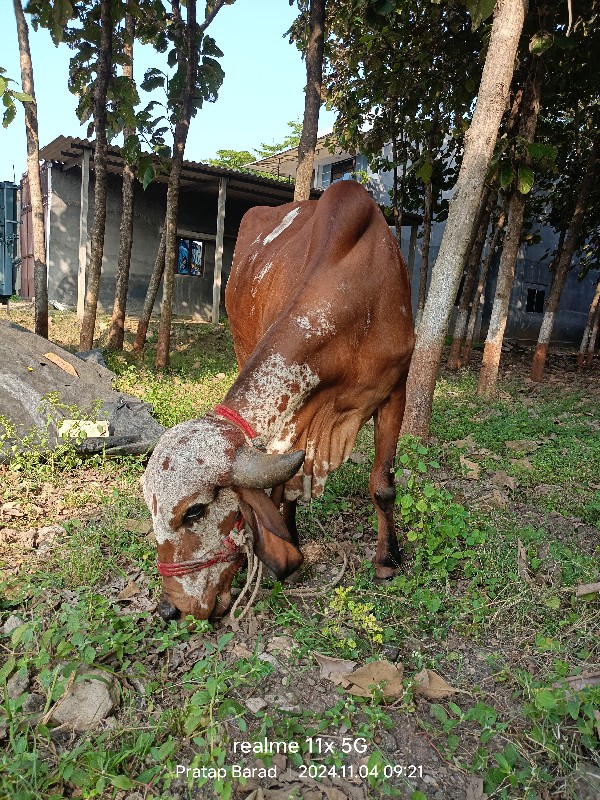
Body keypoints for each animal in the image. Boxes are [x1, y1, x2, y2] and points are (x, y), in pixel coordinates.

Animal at [143, 180, 414, 620]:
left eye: (194, 511)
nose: (170, 609)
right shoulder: (295, 414)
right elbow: (283, 486)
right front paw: (291, 545)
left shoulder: (395, 389)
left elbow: (382, 485)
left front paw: (388, 559)